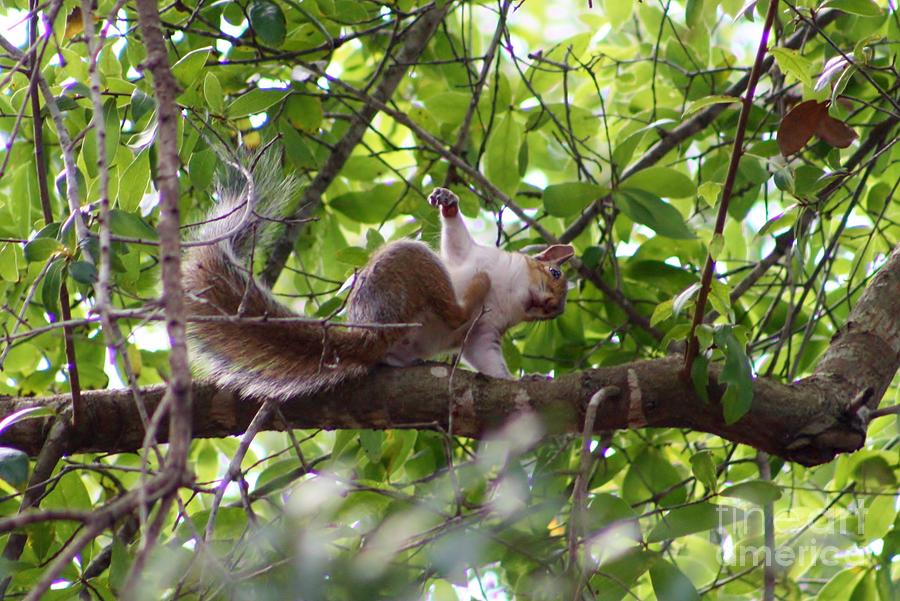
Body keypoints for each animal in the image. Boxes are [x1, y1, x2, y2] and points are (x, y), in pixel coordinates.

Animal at [184, 179, 574, 400]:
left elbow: (487, 357)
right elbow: (457, 242)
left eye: (554, 313)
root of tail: (370, 332)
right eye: (555, 272)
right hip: (414, 264)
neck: (510, 293)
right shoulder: (471, 256)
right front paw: (449, 202)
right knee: (452, 310)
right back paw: (479, 286)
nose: (552, 306)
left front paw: (520, 378)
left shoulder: (486, 332)